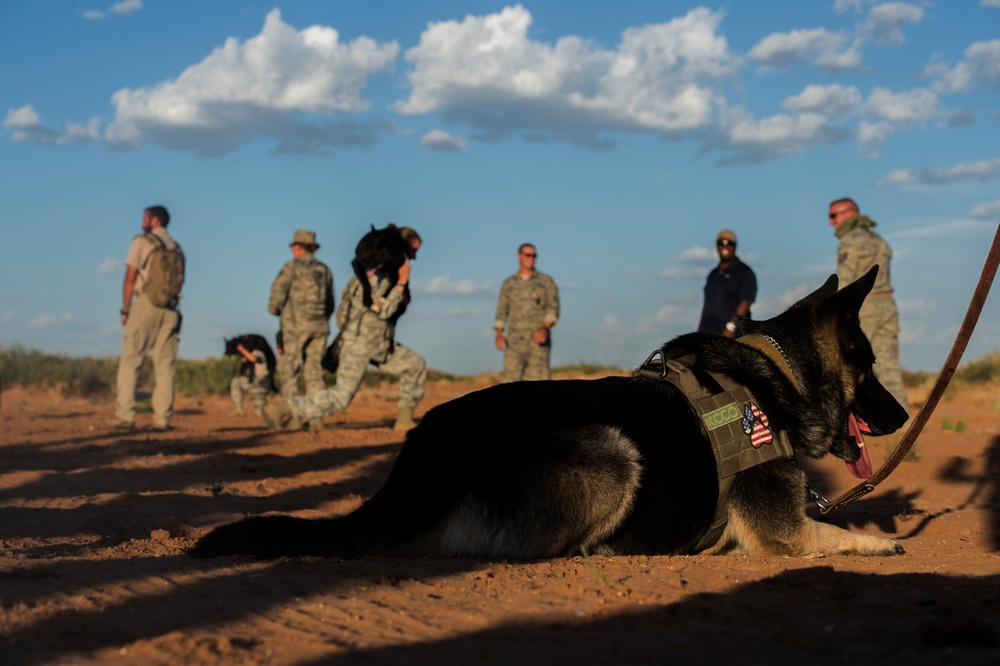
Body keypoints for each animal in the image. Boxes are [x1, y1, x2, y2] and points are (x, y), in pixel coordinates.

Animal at [193, 268, 908, 556]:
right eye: (870, 366)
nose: (902, 416)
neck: (777, 373)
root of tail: (421, 458)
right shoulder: (784, 534)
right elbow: (833, 534)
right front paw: (881, 542)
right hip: (614, 451)